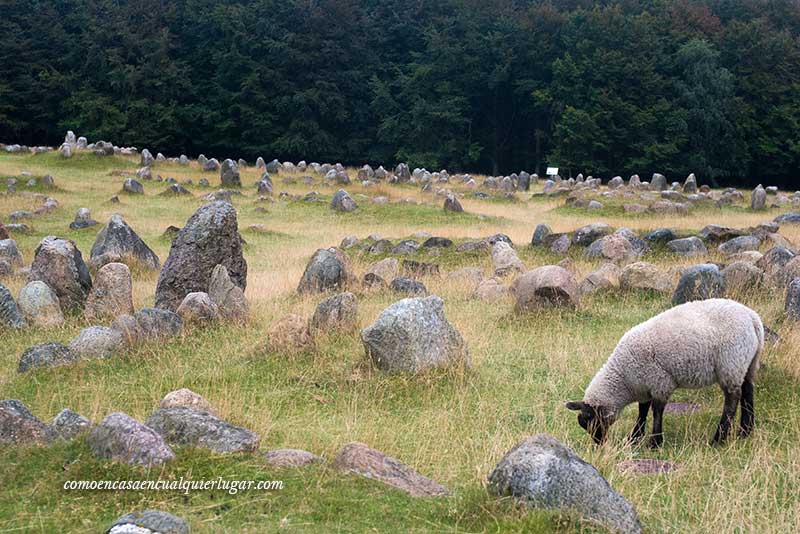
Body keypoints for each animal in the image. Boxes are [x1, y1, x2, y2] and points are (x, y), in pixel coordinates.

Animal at [564, 300, 764, 450]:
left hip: (731, 363)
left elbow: (657, 411)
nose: (599, 443)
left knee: (732, 399)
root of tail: (753, 318)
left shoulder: (660, 382)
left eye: (590, 421)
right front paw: (635, 437)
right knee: (748, 391)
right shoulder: (644, 384)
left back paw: (719, 438)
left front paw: (654, 442)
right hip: (747, 362)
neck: (624, 377)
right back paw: (745, 431)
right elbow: (642, 410)